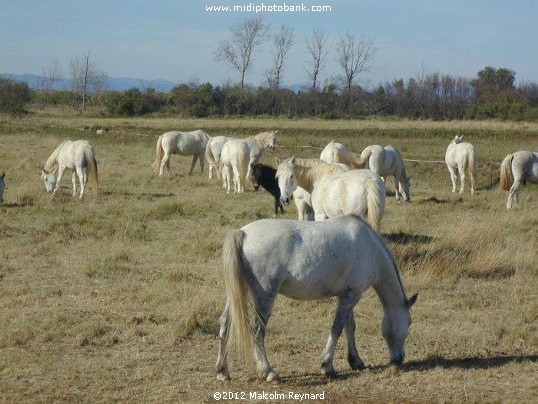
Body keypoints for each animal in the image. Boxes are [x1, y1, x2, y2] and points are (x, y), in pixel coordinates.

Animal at [216, 215, 416, 382]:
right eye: (409, 323)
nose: (399, 359)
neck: (370, 247)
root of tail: (242, 233)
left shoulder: (347, 295)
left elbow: (350, 327)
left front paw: (355, 361)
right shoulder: (352, 295)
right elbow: (337, 329)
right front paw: (327, 366)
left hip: (235, 296)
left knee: (225, 323)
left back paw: (222, 371)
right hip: (264, 296)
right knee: (257, 330)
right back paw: (268, 372)